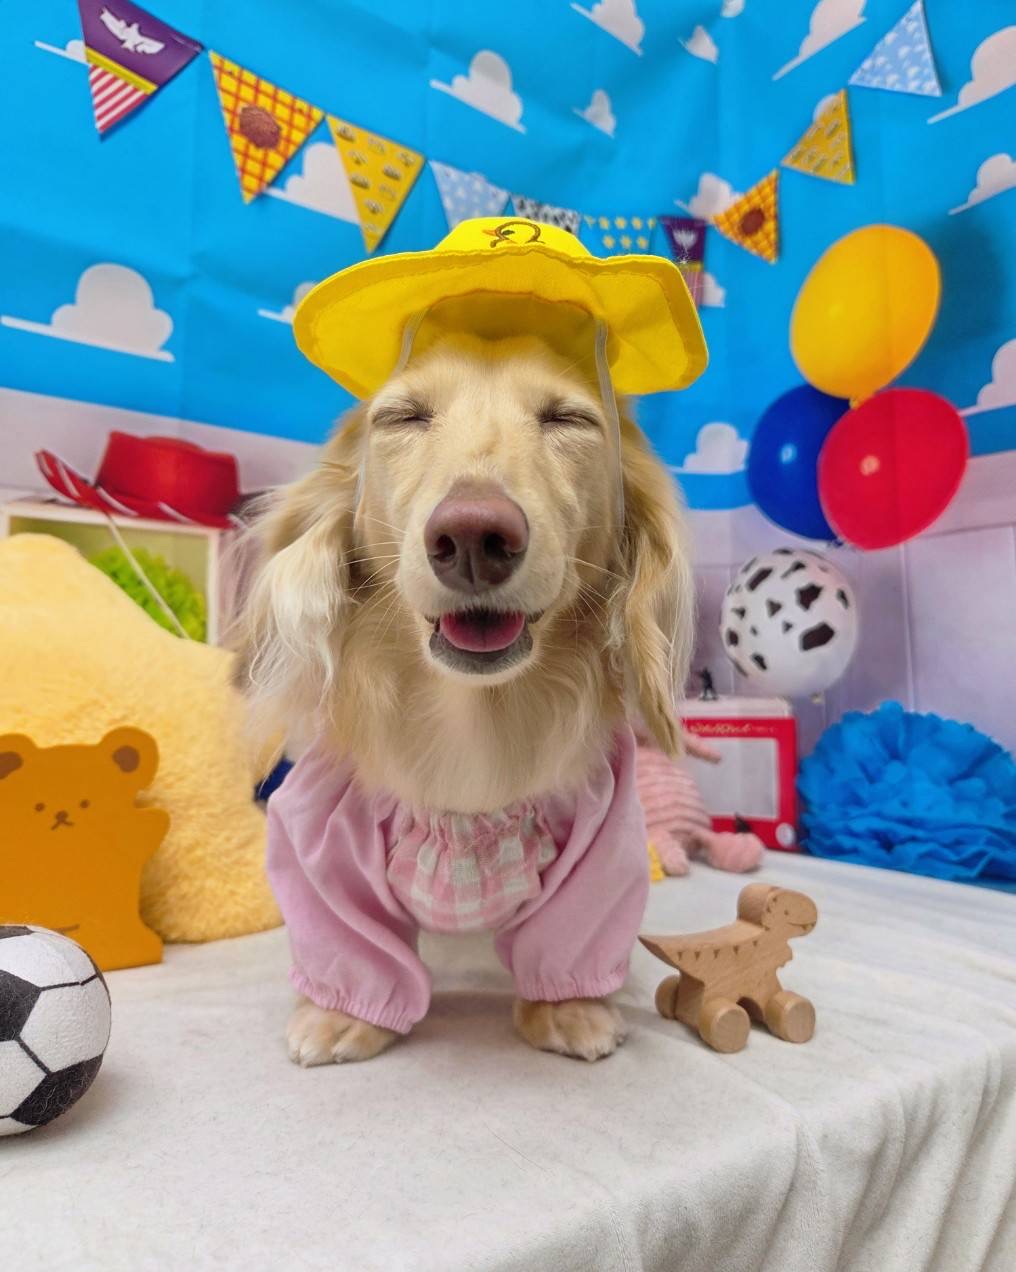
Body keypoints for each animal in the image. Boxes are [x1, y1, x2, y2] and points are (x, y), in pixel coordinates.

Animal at [235, 332, 693, 1064]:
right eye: (403, 417)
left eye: (568, 419)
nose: (476, 537)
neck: (472, 716)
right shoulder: (320, 833)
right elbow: (351, 940)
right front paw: (341, 1016)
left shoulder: (603, 836)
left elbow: (574, 933)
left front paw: (568, 1009)